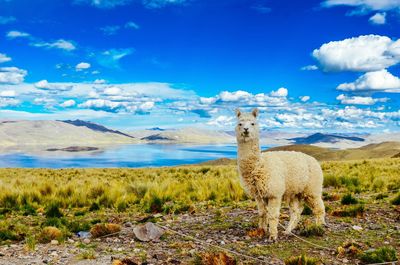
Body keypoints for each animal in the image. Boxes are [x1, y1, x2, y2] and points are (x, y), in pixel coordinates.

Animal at [234, 107, 324, 239]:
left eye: (253, 123)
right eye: (240, 124)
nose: (246, 130)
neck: (259, 166)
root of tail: (314, 160)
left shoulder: (274, 193)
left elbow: (273, 215)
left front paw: (272, 235)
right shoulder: (259, 194)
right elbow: (262, 213)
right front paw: (262, 230)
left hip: (312, 189)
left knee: (318, 208)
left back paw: (319, 227)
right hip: (294, 191)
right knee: (296, 211)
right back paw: (288, 231)